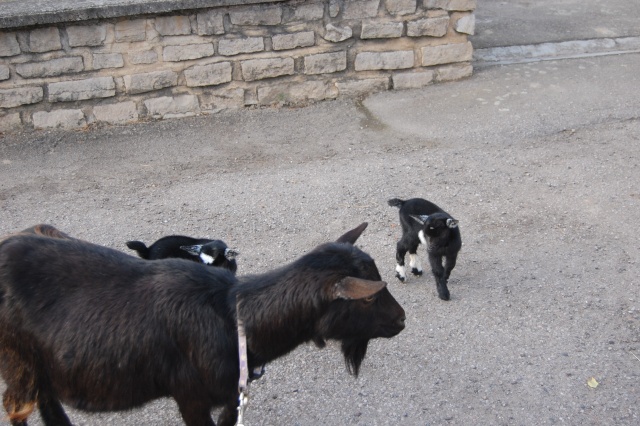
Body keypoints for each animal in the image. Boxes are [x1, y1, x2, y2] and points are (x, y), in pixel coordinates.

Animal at [0, 223, 404, 426]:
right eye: (368, 298)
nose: (401, 320)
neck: (234, 320)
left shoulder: (231, 395)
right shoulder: (190, 396)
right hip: (17, 362)